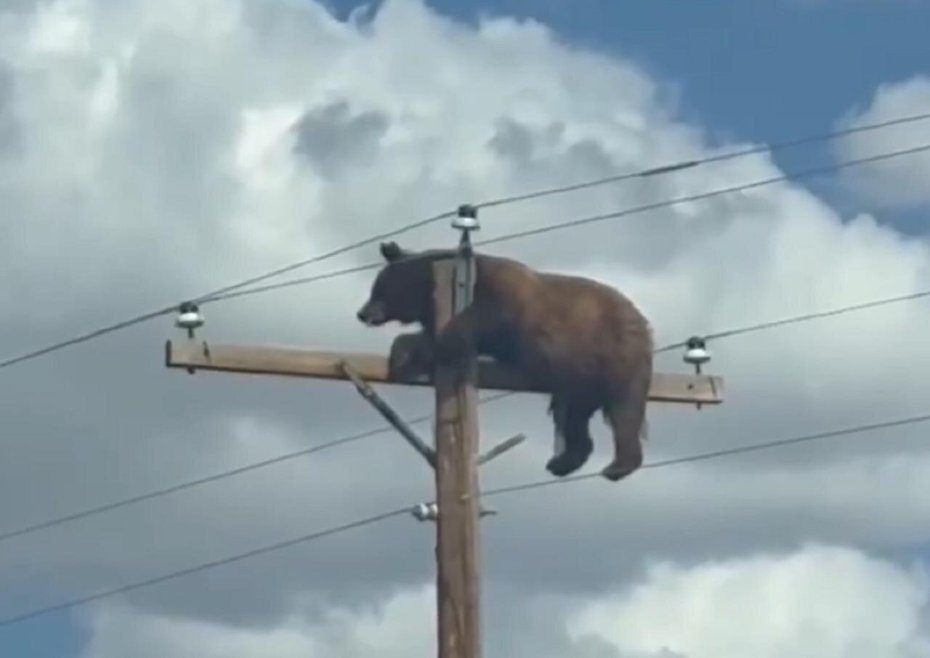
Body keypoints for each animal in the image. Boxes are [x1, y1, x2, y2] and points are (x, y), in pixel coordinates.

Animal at [355, 241, 653, 482]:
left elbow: (470, 325)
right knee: (574, 415)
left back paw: (617, 466)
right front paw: (405, 355)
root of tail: (642, 320)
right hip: (579, 377)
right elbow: (431, 339)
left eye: (377, 288)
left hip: (615, 352)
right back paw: (562, 462)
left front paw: (407, 353)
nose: (362, 312)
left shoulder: (503, 298)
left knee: (624, 407)